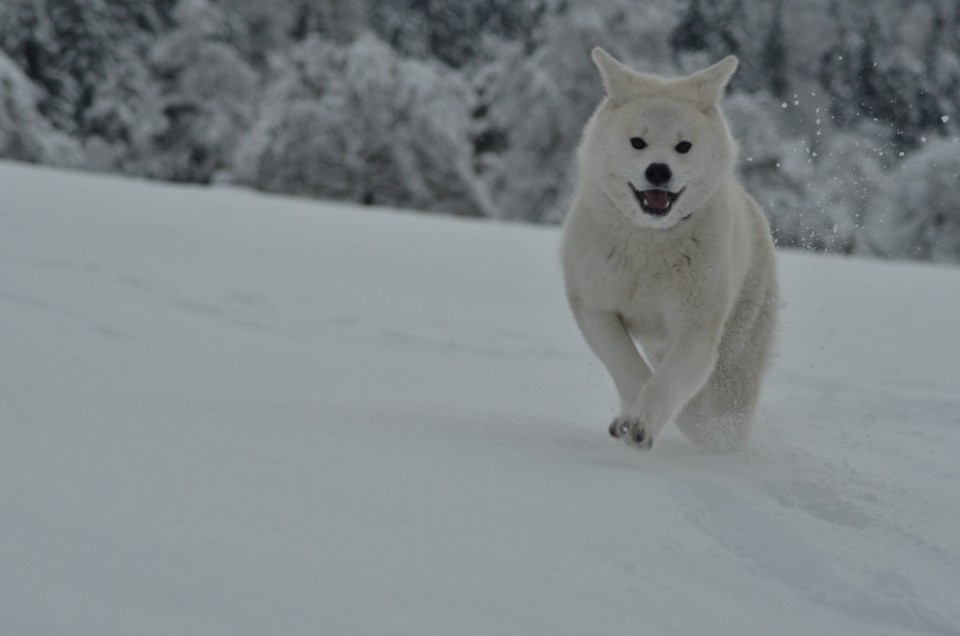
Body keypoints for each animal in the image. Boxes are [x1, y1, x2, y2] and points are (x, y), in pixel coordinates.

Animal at [564, 49, 780, 452]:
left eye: (683, 146)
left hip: (734, 356)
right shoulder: (594, 306)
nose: (659, 171)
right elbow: (628, 367)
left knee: (723, 412)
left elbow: (668, 382)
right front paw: (632, 421)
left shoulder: (696, 328)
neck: (649, 242)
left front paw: (641, 425)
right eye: (637, 142)